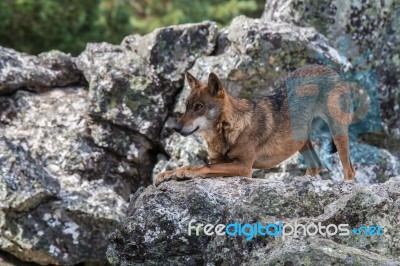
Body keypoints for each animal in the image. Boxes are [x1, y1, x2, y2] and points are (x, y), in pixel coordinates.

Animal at [155, 64, 356, 185]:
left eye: (199, 107)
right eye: (187, 107)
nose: (176, 128)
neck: (227, 131)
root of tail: (329, 69)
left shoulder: (244, 167)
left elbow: (201, 167)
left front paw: (184, 173)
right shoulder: (219, 161)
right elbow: (196, 165)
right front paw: (168, 173)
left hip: (337, 133)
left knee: (349, 171)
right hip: (300, 141)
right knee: (315, 165)